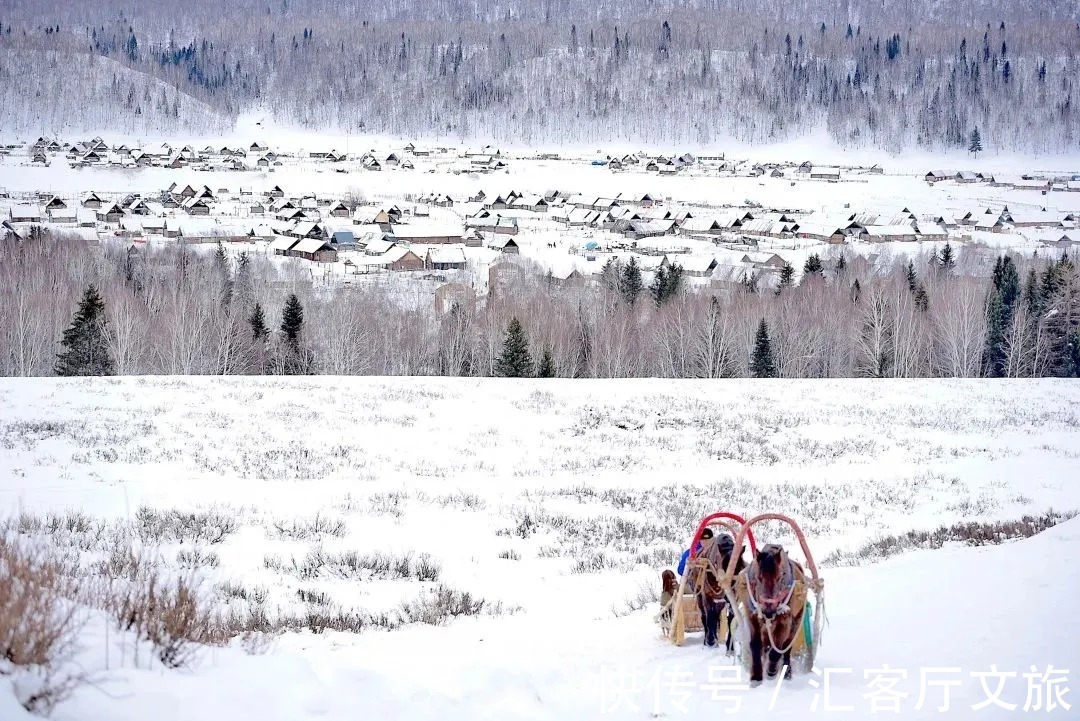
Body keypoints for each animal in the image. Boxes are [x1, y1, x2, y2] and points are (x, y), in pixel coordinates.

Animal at [738, 543, 807, 686]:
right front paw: (756, 676)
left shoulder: (785, 621)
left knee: (786, 648)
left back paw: (786, 672)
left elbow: (777, 650)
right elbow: (755, 645)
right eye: (758, 578)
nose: (768, 612)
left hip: (796, 621)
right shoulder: (752, 616)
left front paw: (771, 671)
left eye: (780, 577)